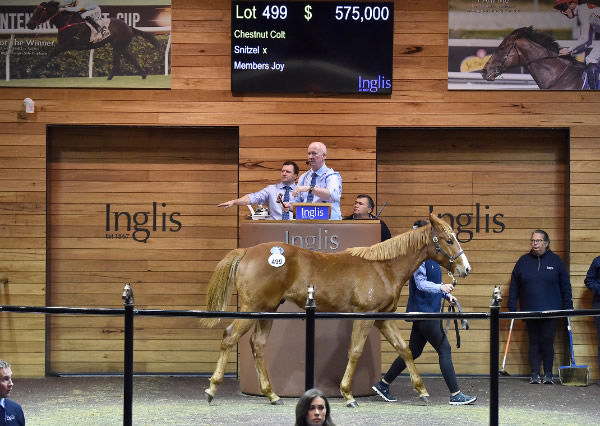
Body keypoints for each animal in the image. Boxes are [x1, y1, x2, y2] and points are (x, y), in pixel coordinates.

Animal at [26, 1, 161, 80]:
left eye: (39, 11)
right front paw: (35, 69)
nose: (28, 25)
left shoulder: (66, 45)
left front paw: (33, 70)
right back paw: (142, 75)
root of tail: (128, 26)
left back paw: (109, 78)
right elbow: (50, 54)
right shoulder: (62, 44)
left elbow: (49, 54)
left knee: (118, 63)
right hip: (121, 46)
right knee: (132, 59)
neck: (67, 23)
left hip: (118, 46)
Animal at [202, 213, 474, 406]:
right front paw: (348, 395)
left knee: (257, 346)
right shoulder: (365, 316)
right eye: (449, 240)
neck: (383, 267)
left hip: (266, 312)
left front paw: (422, 391)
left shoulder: (382, 318)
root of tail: (248, 251)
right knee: (229, 337)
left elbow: (404, 349)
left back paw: (272, 395)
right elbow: (355, 351)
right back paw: (212, 388)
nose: (465, 269)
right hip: (252, 309)